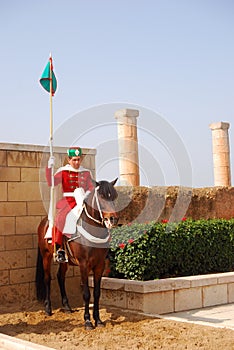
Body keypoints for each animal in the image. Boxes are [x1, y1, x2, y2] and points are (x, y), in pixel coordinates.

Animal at [36, 179, 119, 330]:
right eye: (101, 196)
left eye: (114, 196)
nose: (113, 219)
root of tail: (44, 221)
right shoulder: (84, 265)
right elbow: (86, 293)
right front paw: (87, 321)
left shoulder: (99, 265)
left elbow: (97, 293)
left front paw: (98, 320)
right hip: (46, 256)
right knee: (47, 278)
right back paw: (48, 308)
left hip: (65, 261)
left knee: (60, 276)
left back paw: (67, 306)